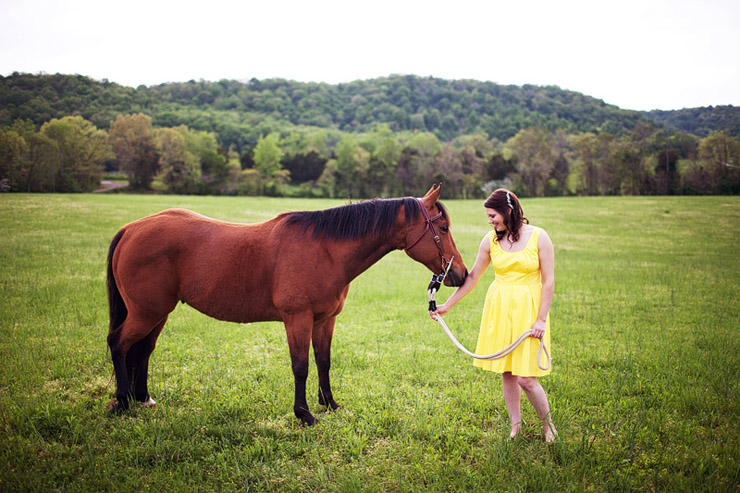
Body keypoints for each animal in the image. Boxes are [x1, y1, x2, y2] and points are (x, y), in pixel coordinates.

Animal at [106, 184, 466, 422]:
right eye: (443, 226)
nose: (460, 274)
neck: (325, 249)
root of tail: (131, 229)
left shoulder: (325, 320)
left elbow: (324, 362)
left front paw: (329, 404)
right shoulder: (298, 319)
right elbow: (300, 366)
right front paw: (304, 414)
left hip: (158, 314)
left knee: (143, 349)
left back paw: (143, 398)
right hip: (146, 312)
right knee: (118, 344)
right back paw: (122, 401)